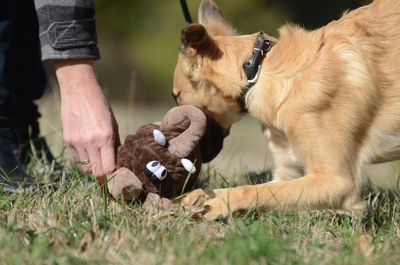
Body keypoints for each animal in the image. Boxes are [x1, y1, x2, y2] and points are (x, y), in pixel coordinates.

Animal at [172, 0, 400, 219]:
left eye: (176, 96)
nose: (190, 157)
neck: (256, 70)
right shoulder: (289, 172)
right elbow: (260, 190)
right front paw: (195, 196)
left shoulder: (338, 181)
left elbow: (248, 190)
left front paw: (215, 205)